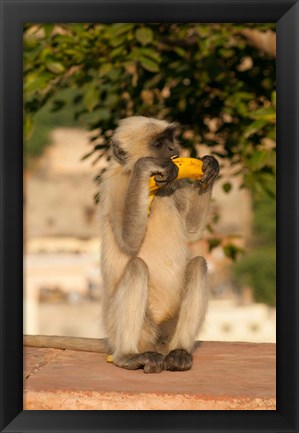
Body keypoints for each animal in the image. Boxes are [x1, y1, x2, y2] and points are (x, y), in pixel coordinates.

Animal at [99, 115, 219, 372]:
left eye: (171, 139)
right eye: (159, 144)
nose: (174, 150)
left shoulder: (175, 185)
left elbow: (191, 232)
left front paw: (210, 166)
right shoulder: (116, 187)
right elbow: (129, 242)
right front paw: (145, 167)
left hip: (168, 327)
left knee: (198, 264)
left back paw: (179, 352)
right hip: (128, 327)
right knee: (136, 267)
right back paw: (127, 356)